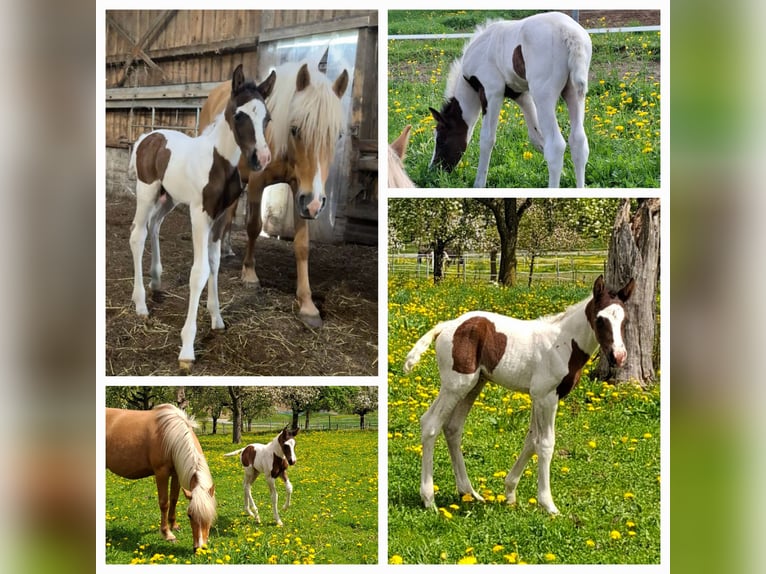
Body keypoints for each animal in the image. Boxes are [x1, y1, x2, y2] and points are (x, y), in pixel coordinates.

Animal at [105, 404, 217, 550]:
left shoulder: (176, 474)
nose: (199, 548)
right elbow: (164, 503)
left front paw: (174, 525)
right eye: (190, 515)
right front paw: (167, 534)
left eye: (210, 516)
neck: (171, 436)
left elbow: (174, 499)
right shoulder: (161, 473)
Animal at [128, 64, 275, 371]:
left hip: (169, 197)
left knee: (154, 225)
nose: (261, 158)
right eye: (239, 115)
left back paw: (156, 283)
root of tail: (147, 137)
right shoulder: (200, 214)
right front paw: (187, 348)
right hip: (147, 191)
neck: (219, 162)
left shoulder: (219, 218)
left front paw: (217, 318)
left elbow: (215, 262)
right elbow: (200, 271)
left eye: (267, 118)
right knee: (137, 235)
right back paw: (141, 304)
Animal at [199, 57, 349, 329]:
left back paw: (226, 248)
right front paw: (249, 275)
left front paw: (308, 305)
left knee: (228, 214)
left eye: (338, 135)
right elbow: (253, 226)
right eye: (295, 129)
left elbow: (302, 244)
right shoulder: (258, 183)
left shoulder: (301, 190)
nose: (316, 204)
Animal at [403, 275, 634, 514]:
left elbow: (531, 441)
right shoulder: (546, 397)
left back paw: (469, 492)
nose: (618, 356)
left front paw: (510, 493)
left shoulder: (536, 397)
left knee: (452, 428)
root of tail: (447, 325)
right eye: (600, 320)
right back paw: (429, 500)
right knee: (430, 424)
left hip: (473, 385)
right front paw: (548, 504)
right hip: (455, 385)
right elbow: (545, 444)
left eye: (625, 320)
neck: (564, 343)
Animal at [429, 12, 592, 188]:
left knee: (556, 146)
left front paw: (479, 183)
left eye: (441, 139)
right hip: (574, 93)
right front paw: (565, 173)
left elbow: (487, 139)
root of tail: (569, 33)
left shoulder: (491, 92)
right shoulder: (521, 95)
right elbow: (536, 137)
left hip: (544, 96)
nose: (434, 170)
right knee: (578, 142)